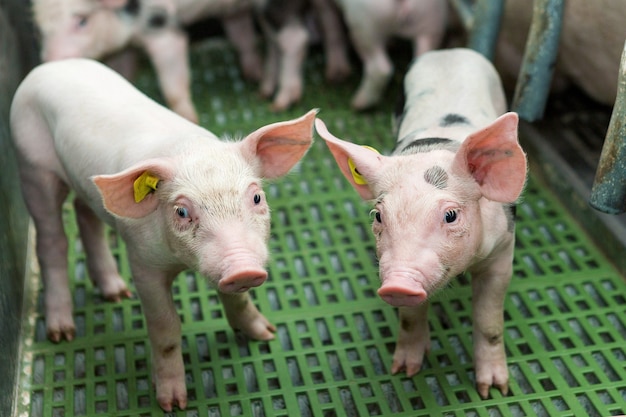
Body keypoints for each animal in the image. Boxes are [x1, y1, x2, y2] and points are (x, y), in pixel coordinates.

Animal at [9, 57, 312, 410]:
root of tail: (52, 65)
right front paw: (173, 404)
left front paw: (266, 334)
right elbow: (165, 326)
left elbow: (236, 299)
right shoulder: (142, 262)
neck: (181, 263)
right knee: (51, 240)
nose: (243, 269)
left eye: (257, 197)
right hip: (31, 166)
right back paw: (62, 332)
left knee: (86, 216)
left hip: (85, 189)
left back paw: (117, 294)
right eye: (181, 211)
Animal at [33, 0, 262, 122]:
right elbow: (123, 67)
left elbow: (173, 86)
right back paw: (252, 76)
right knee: (240, 30)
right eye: (41, 27)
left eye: (82, 21)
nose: (49, 60)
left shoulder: (162, 25)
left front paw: (189, 120)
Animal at [314, 48, 524, 396]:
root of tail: (448, 52)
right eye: (379, 215)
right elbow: (410, 318)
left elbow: (489, 322)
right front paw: (405, 371)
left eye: (451, 215)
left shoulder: (503, 250)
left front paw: (493, 389)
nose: (399, 281)